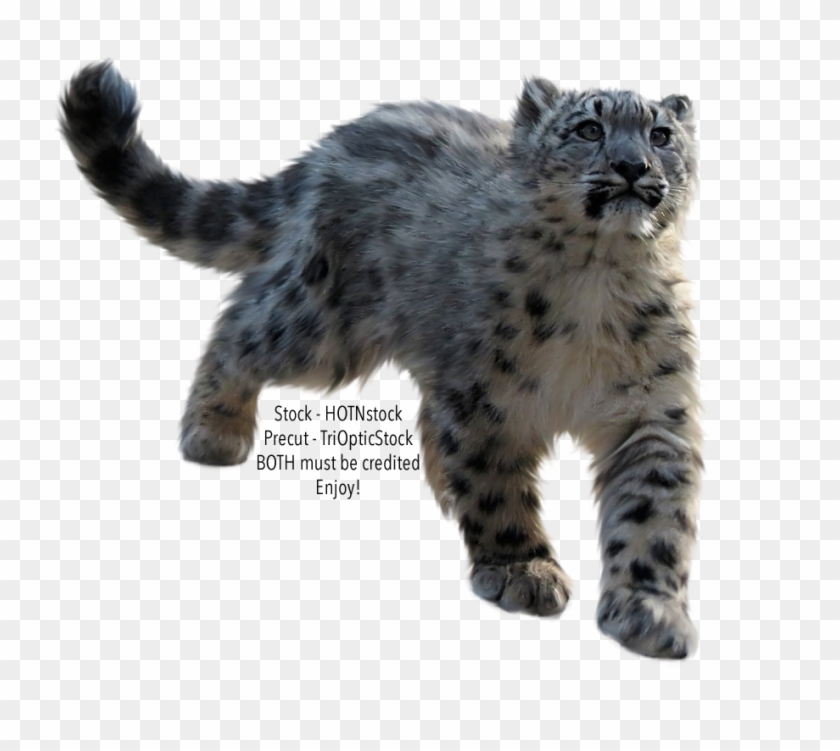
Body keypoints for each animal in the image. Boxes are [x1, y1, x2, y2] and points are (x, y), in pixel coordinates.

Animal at [59, 61, 703, 659]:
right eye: (589, 128)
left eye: (661, 135)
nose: (633, 166)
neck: (600, 277)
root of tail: (322, 151)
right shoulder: (481, 398)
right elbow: (495, 486)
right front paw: (522, 569)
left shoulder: (653, 408)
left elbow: (652, 511)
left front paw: (649, 610)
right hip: (320, 326)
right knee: (243, 322)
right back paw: (215, 431)